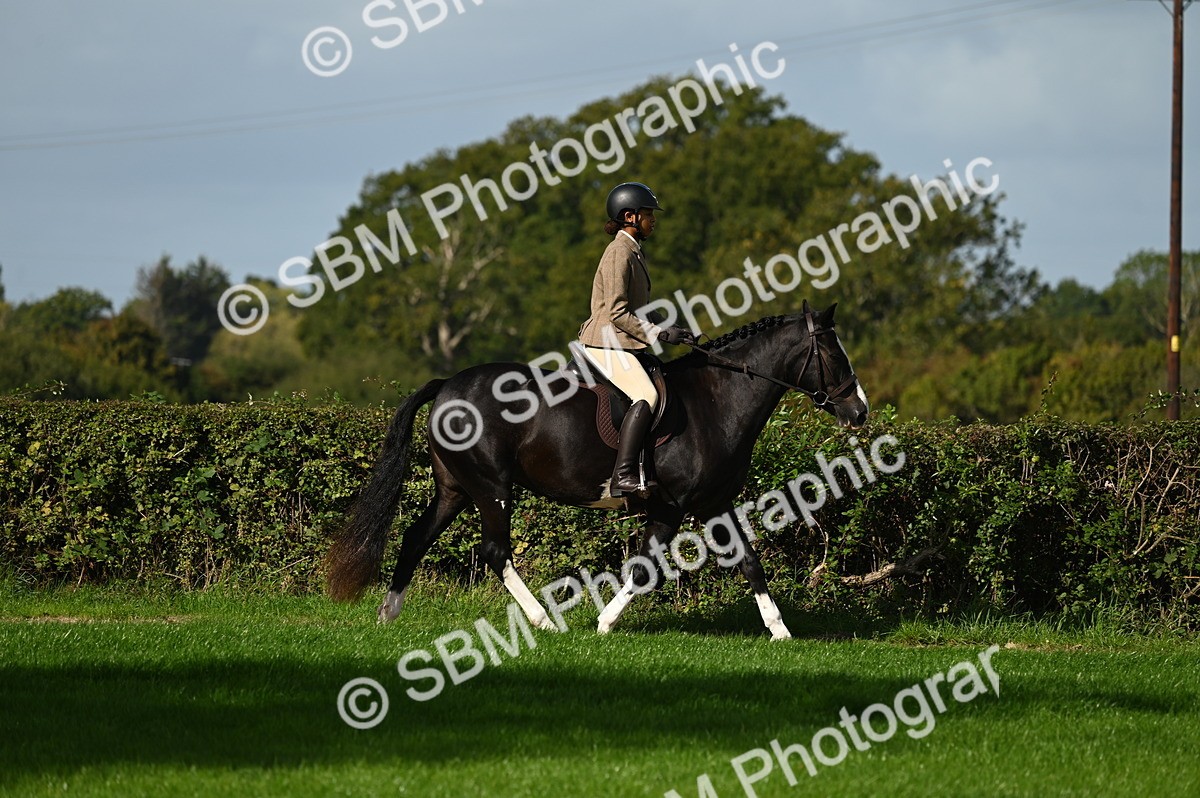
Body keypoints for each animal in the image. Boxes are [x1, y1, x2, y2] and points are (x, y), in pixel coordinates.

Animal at [324, 302, 868, 639]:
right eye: (833, 354)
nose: (860, 411)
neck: (718, 400)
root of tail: (447, 386)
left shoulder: (709, 503)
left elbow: (744, 560)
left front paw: (779, 630)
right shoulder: (679, 506)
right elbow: (652, 567)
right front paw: (604, 623)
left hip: (456, 489)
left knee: (416, 537)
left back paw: (387, 614)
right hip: (491, 486)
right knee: (496, 551)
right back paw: (542, 622)